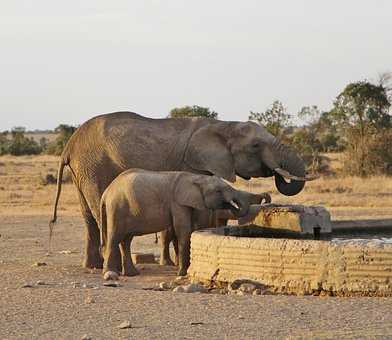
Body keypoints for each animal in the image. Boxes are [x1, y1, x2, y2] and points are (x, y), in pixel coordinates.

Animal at [99, 169, 250, 278]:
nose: (232, 205)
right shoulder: (178, 203)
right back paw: (110, 273)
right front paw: (182, 273)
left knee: (126, 240)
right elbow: (183, 230)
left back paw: (132, 274)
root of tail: (106, 193)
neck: (196, 178)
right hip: (117, 208)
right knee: (115, 237)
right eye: (218, 191)